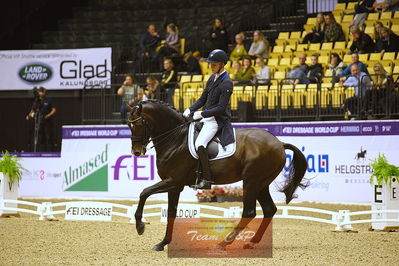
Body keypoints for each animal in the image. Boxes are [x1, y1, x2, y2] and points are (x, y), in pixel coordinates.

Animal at [126, 100, 308, 251]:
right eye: (129, 125)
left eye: (139, 123)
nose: (136, 152)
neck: (176, 138)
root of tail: (279, 143)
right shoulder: (174, 186)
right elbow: (171, 212)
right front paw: (163, 243)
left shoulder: (173, 181)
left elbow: (144, 193)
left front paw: (140, 226)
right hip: (262, 184)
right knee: (269, 209)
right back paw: (251, 242)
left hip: (252, 181)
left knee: (249, 212)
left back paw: (224, 243)